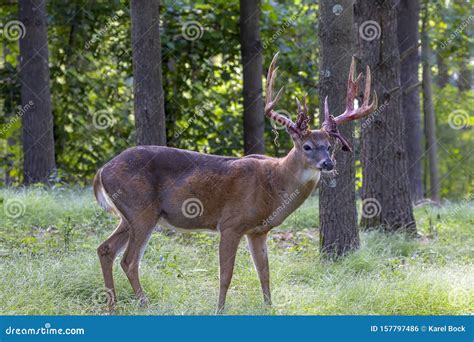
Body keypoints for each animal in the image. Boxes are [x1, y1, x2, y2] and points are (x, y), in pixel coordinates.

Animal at [93, 52, 378, 312]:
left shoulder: (258, 230)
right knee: (129, 260)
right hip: (141, 210)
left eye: (330, 146)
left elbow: (264, 273)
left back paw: (112, 306)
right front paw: (219, 310)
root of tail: (101, 170)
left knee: (105, 249)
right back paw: (144, 305)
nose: (328, 164)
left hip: (129, 214)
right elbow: (225, 275)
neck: (274, 185)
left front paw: (269, 309)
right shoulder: (231, 224)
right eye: (307, 146)